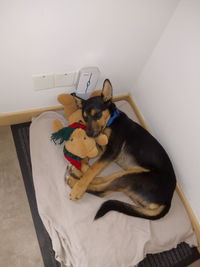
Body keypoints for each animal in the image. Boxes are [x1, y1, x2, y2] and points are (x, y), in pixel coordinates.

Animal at [68, 80, 176, 222]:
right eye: (84, 118)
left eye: (97, 114)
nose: (89, 134)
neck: (112, 120)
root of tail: (168, 201)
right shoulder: (103, 149)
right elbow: (91, 160)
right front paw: (83, 161)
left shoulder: (111, 151)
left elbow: (94, 168)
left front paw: (79, 188)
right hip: (129, 173)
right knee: (103, 179)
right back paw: (78, 172)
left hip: (135, 176)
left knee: (101, 191)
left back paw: (74, 182)